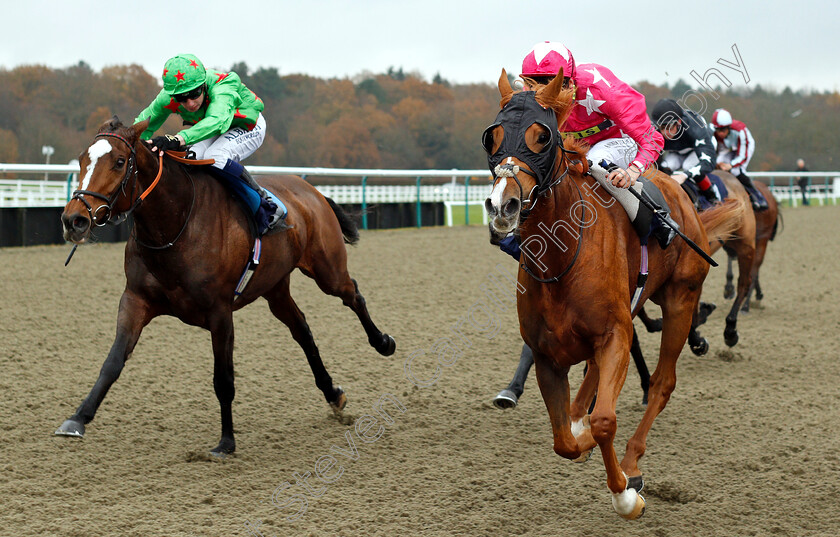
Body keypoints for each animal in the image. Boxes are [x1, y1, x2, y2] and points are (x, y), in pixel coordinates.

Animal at [56, 116, 398, 452]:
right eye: (82, 159)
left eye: (119, 161)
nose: (74, 220)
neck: (175, 224)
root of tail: (310, 190)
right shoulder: (135, 299)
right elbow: (112, 362)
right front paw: (77, 419)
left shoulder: (220, 312)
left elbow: (223, 379)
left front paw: (226, 441)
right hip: (275, 287)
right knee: (301, 328)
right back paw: (332, 393)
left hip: (327, 269)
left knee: (353, 295)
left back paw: (383, 342)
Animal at [482, 69, 744, 516]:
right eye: (493, 136)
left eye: (542, 136)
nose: (504, 206)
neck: (561, 257)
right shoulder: (548, 353)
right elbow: (564, 441)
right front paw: (579, 436)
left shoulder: (615, 333)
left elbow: (605, 421)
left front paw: (625, 495)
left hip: (680, 299)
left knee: (661, 383)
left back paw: (632, 462)